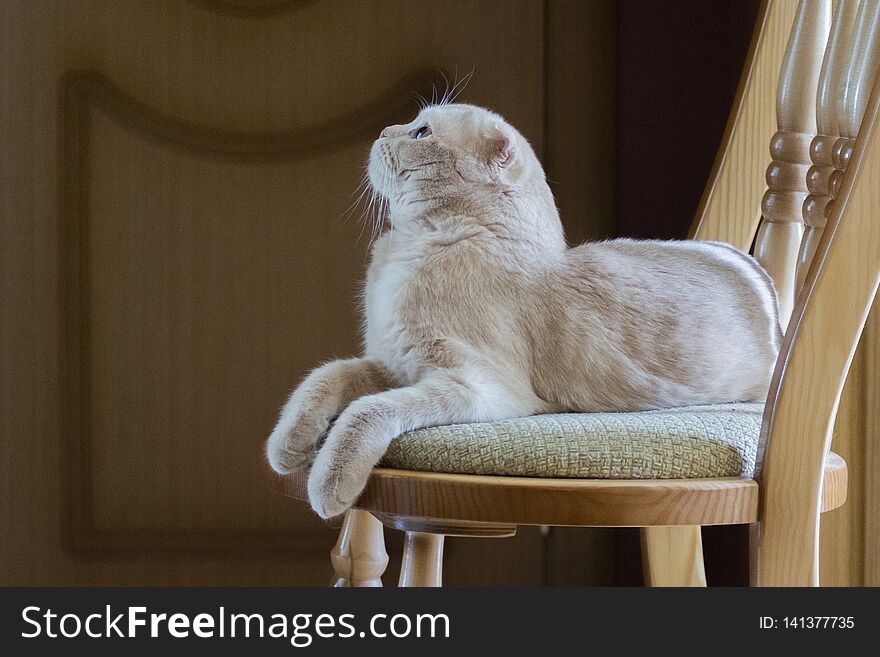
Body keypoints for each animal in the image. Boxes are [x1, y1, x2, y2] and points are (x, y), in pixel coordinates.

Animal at [264, 102, 780, 516]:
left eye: (420, 132)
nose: (383, 130)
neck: (412, 248)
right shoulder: (392, 363)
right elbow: (327, 376)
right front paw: (288, 448)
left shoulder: (476, 386)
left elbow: (364, 411)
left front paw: (326, 486)